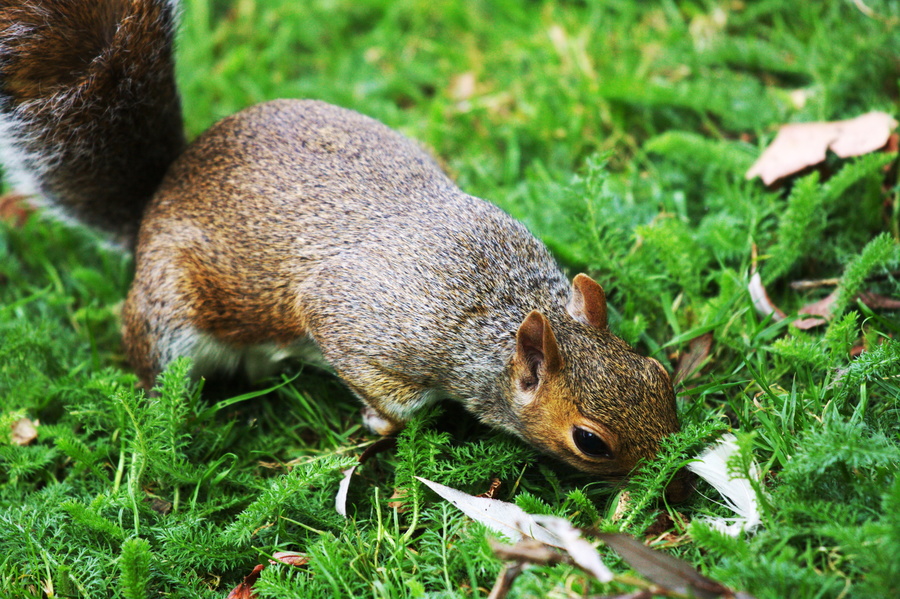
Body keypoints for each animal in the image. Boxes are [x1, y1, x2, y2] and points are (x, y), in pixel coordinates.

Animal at [0, 0, 682, 483]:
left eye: (658, 374)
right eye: (590, 442)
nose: (670, 472)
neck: (502, 310)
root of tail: (156, 200)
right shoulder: (361, 327)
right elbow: (392, 398)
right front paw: (378, 422)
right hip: (172, 311)